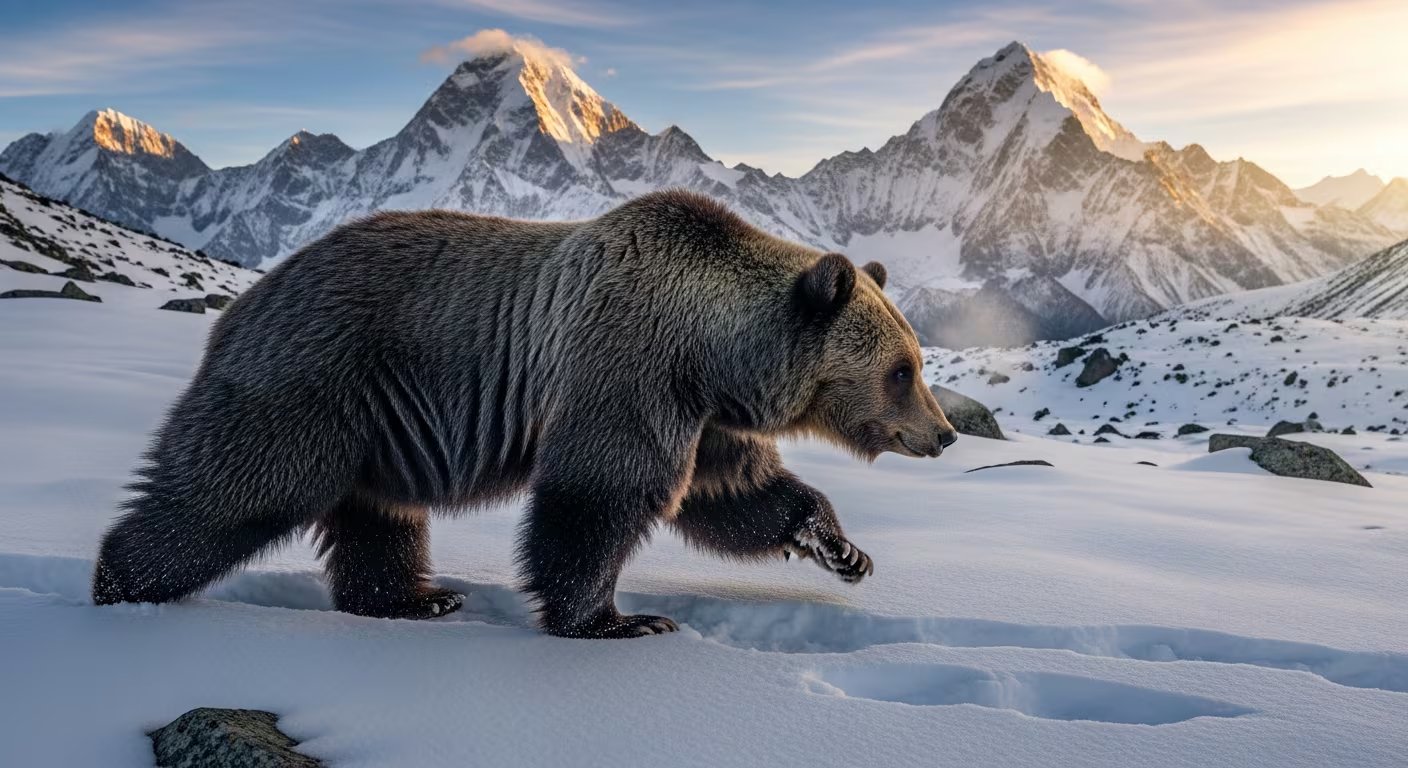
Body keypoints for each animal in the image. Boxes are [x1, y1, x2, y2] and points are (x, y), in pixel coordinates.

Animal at [91, 189, 958, 638]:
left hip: (376, 427)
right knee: (235, 489)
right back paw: (122, 582)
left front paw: (841, 548)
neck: (712, 351)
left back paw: (417, 598)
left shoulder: (703, 412)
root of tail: (247, 298)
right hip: (316, 379)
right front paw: (617, 619)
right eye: (903, 370)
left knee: (379, 518)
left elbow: (732, 493)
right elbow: (601, 495)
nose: (944, 433)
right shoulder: (630, 367)